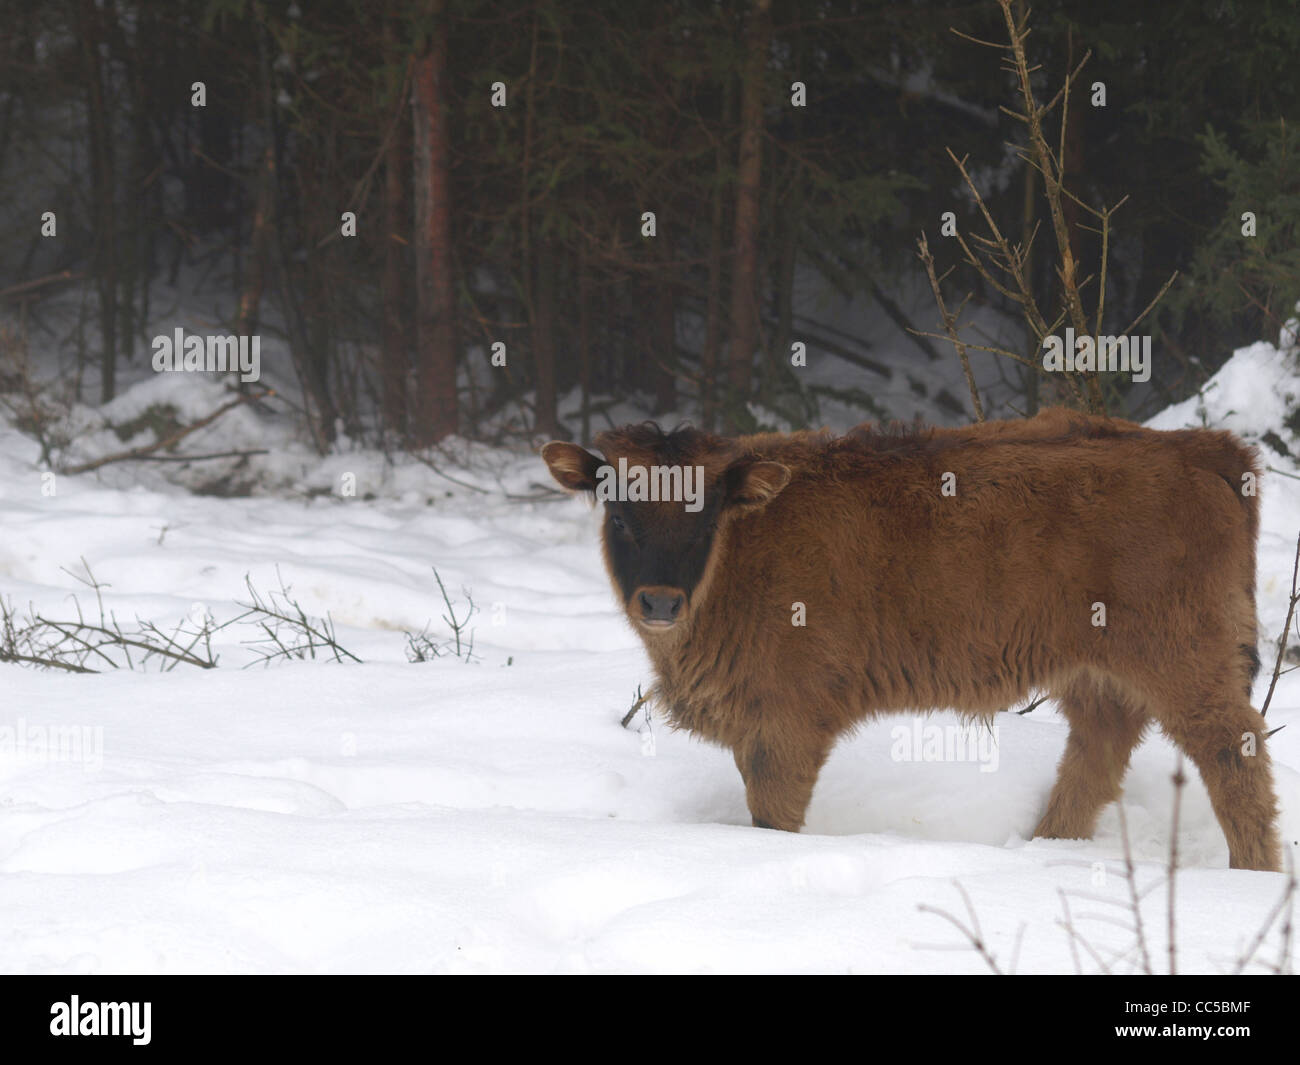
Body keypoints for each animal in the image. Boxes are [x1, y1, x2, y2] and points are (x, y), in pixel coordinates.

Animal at [543, 410, 1284, 873]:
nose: (660, 601)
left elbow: (773, 815)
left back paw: (1252, 876)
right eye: (619, 511)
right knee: (1095, 757)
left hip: (1187, 666)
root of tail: (1201, 447)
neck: (743, 547)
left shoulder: (784, 726)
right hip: (1099, 675)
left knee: (1234, 751)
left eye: (705, 516)